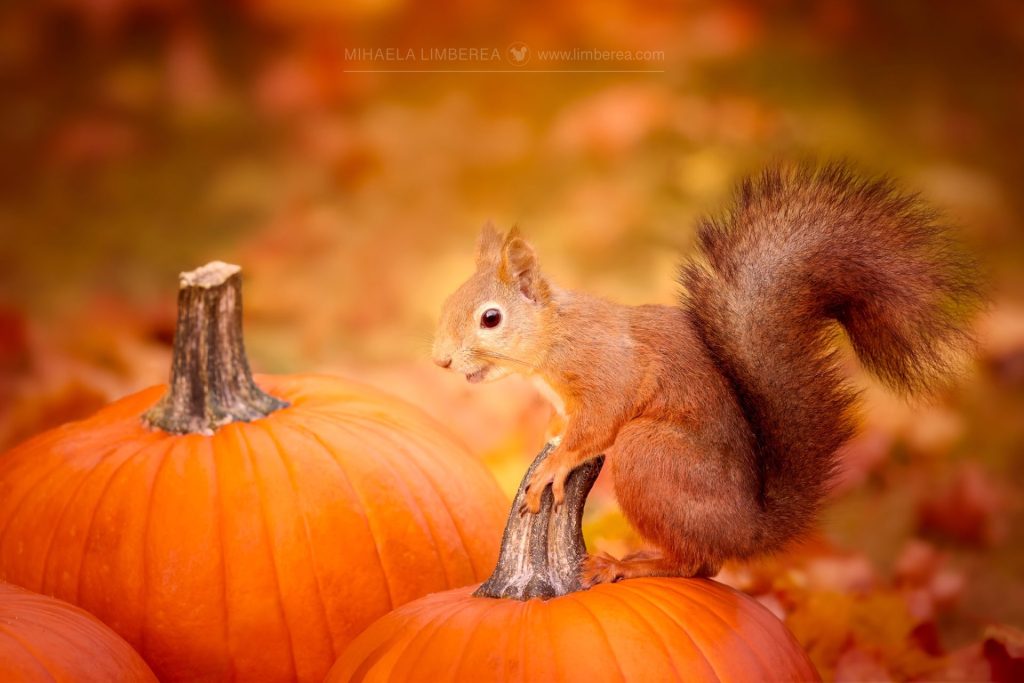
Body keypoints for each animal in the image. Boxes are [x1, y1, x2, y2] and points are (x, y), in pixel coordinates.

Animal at [432, 163, 981, 585]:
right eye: (448, 300)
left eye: (490, 318)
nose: (441, 361)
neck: (550, 339)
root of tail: (746, 530)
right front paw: (551, 436)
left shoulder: (606, 369)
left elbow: (598, 422)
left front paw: (556, 463)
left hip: (649, 457)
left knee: (697, 564)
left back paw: (631, 566)